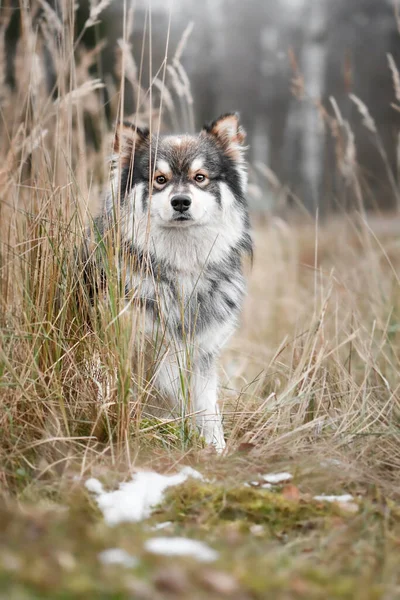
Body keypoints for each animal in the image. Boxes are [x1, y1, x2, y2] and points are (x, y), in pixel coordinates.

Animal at [86, 113, 252, 450]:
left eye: (200, 177)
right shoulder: (131, 351)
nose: (181, 202)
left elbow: (208, 412)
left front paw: (217, 450)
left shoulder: (201, 355)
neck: (181, 266)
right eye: (159, 179)